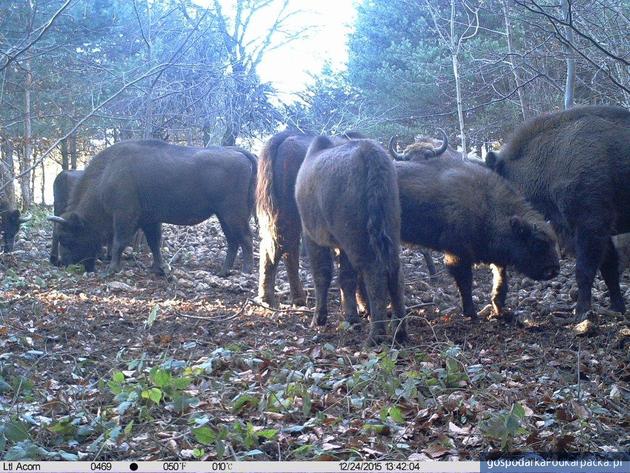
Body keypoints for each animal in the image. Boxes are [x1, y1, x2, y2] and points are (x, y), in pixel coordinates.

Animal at [48, 138, 258, 274]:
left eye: (67, 238)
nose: (65, 264)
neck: (107, 175)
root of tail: (240, 152)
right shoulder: (149, 220)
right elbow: (154, 243)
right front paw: (158, 268)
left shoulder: (124, 216)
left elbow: (119, 242)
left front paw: (111, 270)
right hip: (224, 215)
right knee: (233, 240)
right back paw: (223, 271)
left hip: (233, 213)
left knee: (245, 238)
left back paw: (246, 270)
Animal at [256, 130, 366, 306]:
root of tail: (283, 138)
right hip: (290, 214)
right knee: (286, 247)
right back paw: (292, 298)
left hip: (280, 214)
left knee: (275, 246)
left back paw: (272, 298)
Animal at [296, 136, 408, 342]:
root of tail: (370, 152)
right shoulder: (343, 245)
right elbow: (347, 278)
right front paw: (351, 317)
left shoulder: (312, 237)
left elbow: (322, 274)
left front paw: (319, 317)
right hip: (387, 227)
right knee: (395, 272)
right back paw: (400, 330)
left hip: (356, 238)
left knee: (375, 273)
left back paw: (376, 334)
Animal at [398, 158, 560, 318]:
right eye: (537, 243)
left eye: (554, 242)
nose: (553, 270)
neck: (488, 205)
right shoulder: (458, 255)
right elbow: (466, 283)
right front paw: (472, 313)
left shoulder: (497, 258)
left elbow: (501, 280)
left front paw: (499, 309)